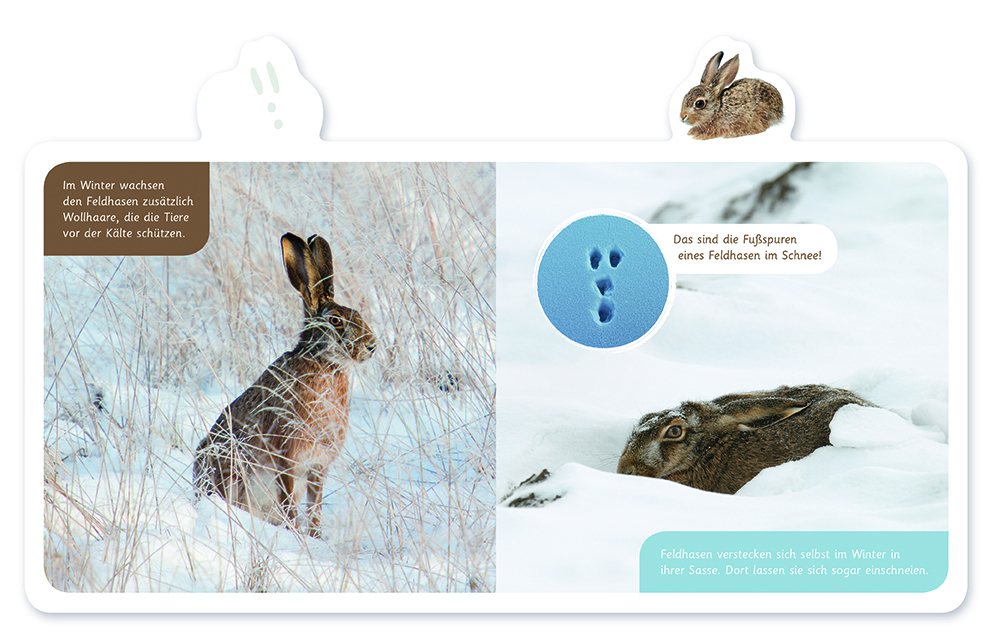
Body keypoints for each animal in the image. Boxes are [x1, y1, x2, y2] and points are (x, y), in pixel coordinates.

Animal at [193, 232, 377, 537]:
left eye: (358, 313)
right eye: (336, 321)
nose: (372, 346)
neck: (324, 362)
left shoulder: (317, 466)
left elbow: (315, 506)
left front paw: (315, 537)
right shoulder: (286, 457)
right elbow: (290, 501)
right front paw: (298, 535)